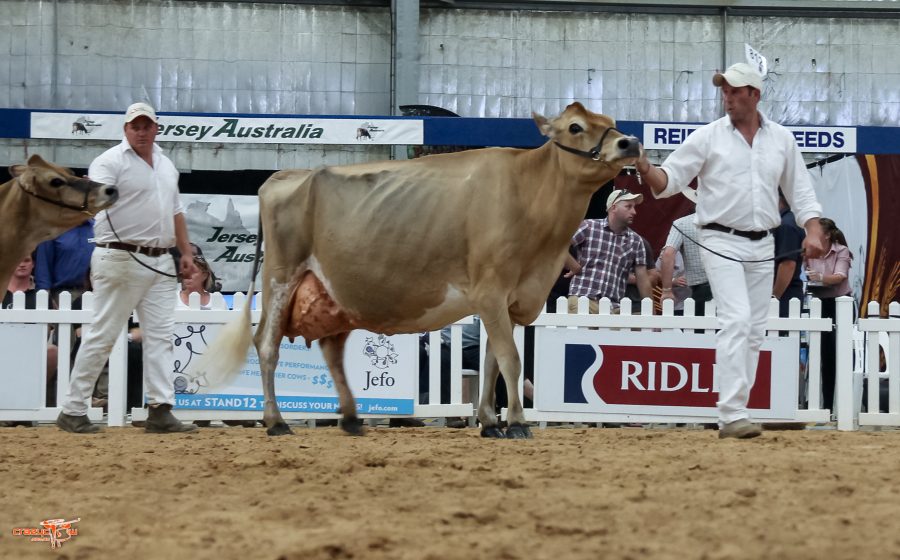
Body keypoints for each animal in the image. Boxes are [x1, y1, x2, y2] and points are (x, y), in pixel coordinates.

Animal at [195, 102, 640, 439]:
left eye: (612, 121)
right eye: (575, 126)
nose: (630, 141)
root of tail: (284, 176)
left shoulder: (512, 300)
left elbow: (493, 362)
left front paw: (489, 422)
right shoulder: (490, 290)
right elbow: (511, 360)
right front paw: (515, 423)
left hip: (335, 293)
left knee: (332, 351)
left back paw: (352, 419)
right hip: (281, 276)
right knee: (266, 344)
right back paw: (276, 422)